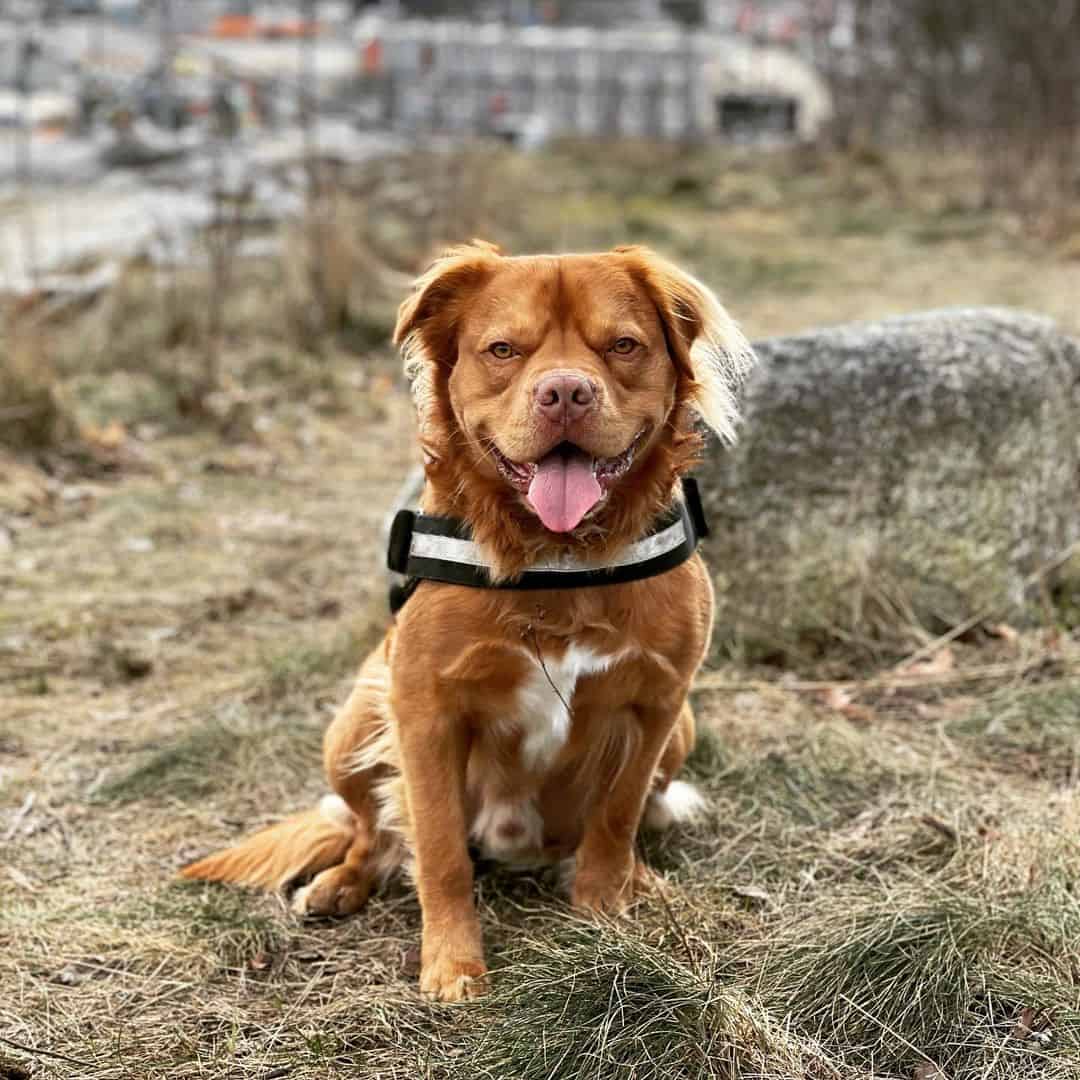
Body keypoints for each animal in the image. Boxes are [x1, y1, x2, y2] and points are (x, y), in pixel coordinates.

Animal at [181, 240, 756, 997]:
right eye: (503, 349)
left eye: (623, 345)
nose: (565, 392)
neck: (560, 558)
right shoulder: (425, 710)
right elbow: (439, 848)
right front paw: (452, 964)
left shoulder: (659, 701)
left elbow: (616, 816)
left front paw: (606, 907)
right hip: (356, 716)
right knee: (371, 831)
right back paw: (341, 883)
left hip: (683, 729)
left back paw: (642, 879)